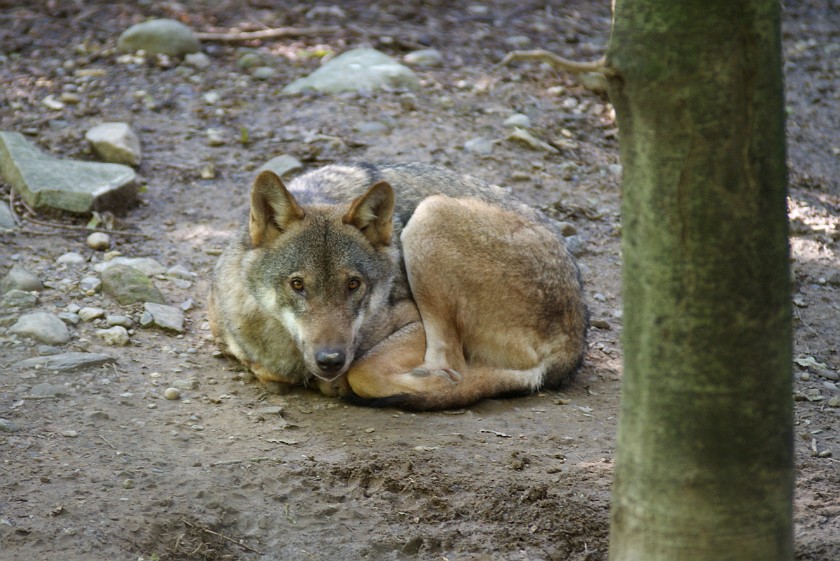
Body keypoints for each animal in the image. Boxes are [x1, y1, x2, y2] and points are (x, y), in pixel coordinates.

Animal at [208, 160, 592, 410]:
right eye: (298, 284)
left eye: (354, 284)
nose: (330, 360)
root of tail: (574, 341)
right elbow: (266, 371)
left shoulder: (411, 322)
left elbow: (363, 372)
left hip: (429, 216)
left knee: (454, 365)